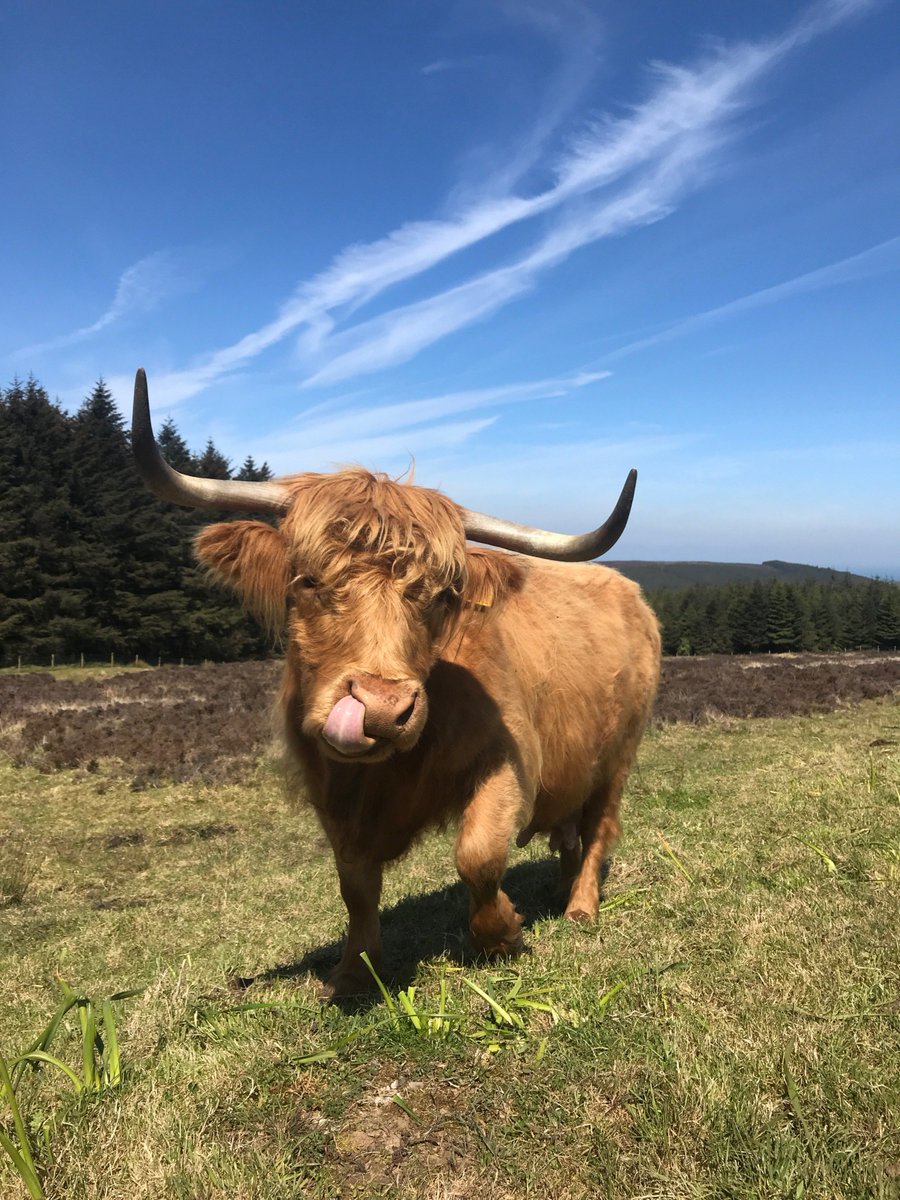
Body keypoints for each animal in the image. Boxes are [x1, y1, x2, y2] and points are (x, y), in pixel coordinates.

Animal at [131, 369, 661, 998]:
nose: (382, 708)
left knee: (599, 826)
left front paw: (503, 934)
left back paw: (580, 907)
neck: (382, 778)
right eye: (307, 581)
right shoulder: (332, 797)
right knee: (570, 835)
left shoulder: (509, 762)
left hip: (619, 754)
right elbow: (355, 886)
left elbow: (478, 854)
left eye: (441, 596)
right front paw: (354, 971)